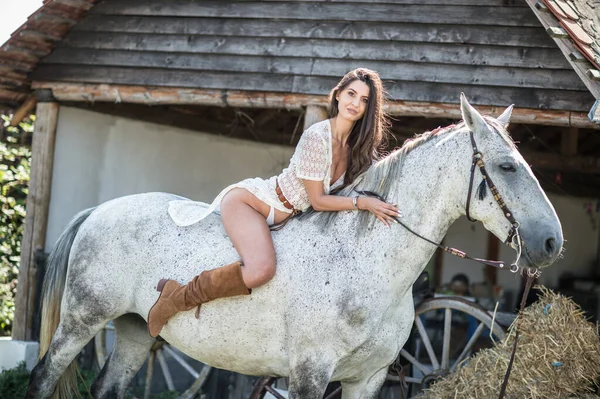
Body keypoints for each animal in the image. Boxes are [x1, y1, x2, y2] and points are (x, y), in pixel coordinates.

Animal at [24, 95, 564, 398]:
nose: (551, 241)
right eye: (507, 166)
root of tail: (98, 211)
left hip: (137, 333)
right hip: (81, 321)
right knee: (42, 377)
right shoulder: (309, 374)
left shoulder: (366, 380)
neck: (366, 264)